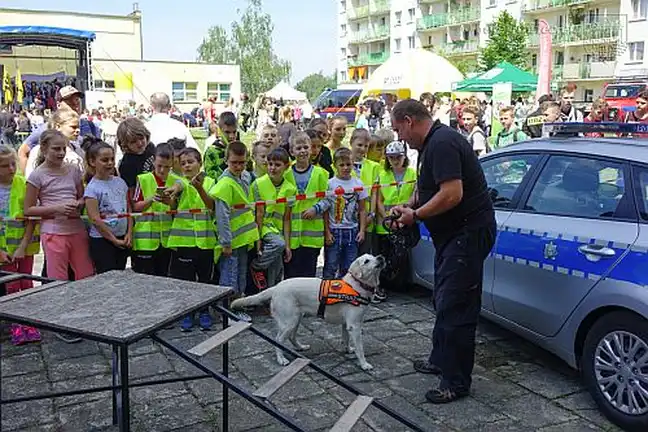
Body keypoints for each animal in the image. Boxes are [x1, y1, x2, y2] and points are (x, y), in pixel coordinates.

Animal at [232, 253, 384, 372]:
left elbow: (345, 340)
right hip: (290, 321)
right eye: (366, 261)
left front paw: (348, 350)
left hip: (296, 319)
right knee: (278, 339)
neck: (357, 285)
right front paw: (364, 364)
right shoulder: (355, 325)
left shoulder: (347, 324)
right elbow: (360, 348)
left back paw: (301, 347)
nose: (381, 257)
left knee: (291, 337)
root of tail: (276, 287)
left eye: (373, 256)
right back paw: (281, 359)